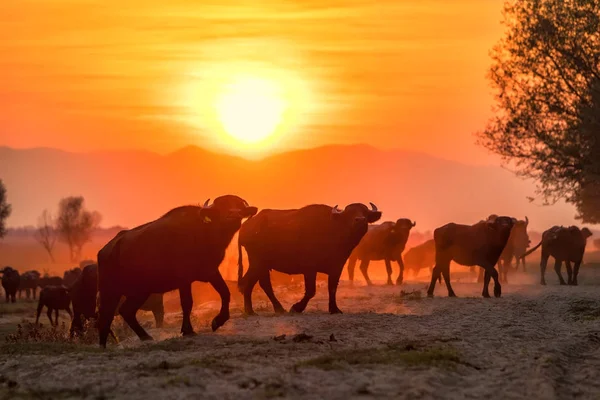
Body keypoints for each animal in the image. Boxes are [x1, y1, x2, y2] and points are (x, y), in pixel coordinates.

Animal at [97, 196, 256, 346]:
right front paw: (188, 330)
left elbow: (225, 292)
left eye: (238, 205)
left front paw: (218, 321)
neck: (204, 232)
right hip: (110, 291)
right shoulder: (184, 280)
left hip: (140, 290)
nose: (234, 214)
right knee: (106, 316)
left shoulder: (211, 271)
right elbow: (187, 303)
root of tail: (108, 249)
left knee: (125, 311)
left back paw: (143, 337)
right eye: (222, 206)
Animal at [238, 203, 382, 316]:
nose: (360, 220)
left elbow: (332, 288)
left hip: (261, 264)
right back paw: (261, 310)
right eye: (349, 213)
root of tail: (246, 226)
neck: (333, 229)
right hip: (257, 261)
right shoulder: (309, 269)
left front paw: (334, 309)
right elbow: (311, 291)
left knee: (256, 283)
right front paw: (296, 308)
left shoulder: (337, 267)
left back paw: (265, 310)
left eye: (364, 212)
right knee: (254, 283)